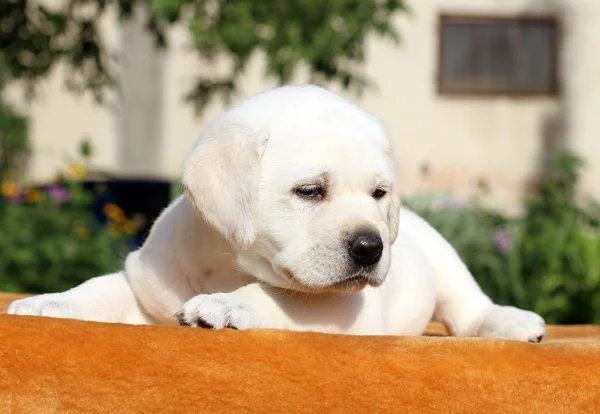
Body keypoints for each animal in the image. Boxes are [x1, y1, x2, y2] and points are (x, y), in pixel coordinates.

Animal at [8, 85, 544, 342]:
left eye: (378, 193)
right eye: (310, 191)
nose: (371, 247)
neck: (227, 266)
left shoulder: (341, 311)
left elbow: (283, 297)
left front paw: (228, 305)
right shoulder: (146, 287)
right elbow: (99, 290)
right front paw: (48, 303)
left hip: (443, 257)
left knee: (467, 306)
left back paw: (512, 322)